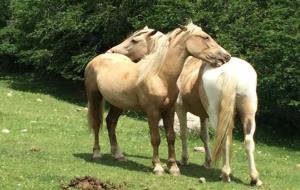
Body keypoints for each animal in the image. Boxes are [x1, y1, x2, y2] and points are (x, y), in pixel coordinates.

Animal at [84, 23, 230, 176]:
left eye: (134, 40)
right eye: (205, 37)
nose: (226, 56)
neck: (160, 76)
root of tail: (96, 60)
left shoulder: (169, 110)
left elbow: (171, 137)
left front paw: (173, 167)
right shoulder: (152, 112)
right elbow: (156, 139)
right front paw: (158, 166)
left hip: (118, 104)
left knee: (111, 122)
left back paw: (118, 155)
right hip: (94, 97)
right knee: (97, 123)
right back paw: (97, 153)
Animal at [108, 30, 262, 186]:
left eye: (134, 40)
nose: (112, 51)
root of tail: (232, 72)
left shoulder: (180, 109)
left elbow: (183, 134)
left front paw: (183, 159)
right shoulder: (203, 116)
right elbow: (204, 136)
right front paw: (207, 162)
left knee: (225, 139)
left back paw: (225, 173)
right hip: (248, 115)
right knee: (248, 141)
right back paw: (254, 178)